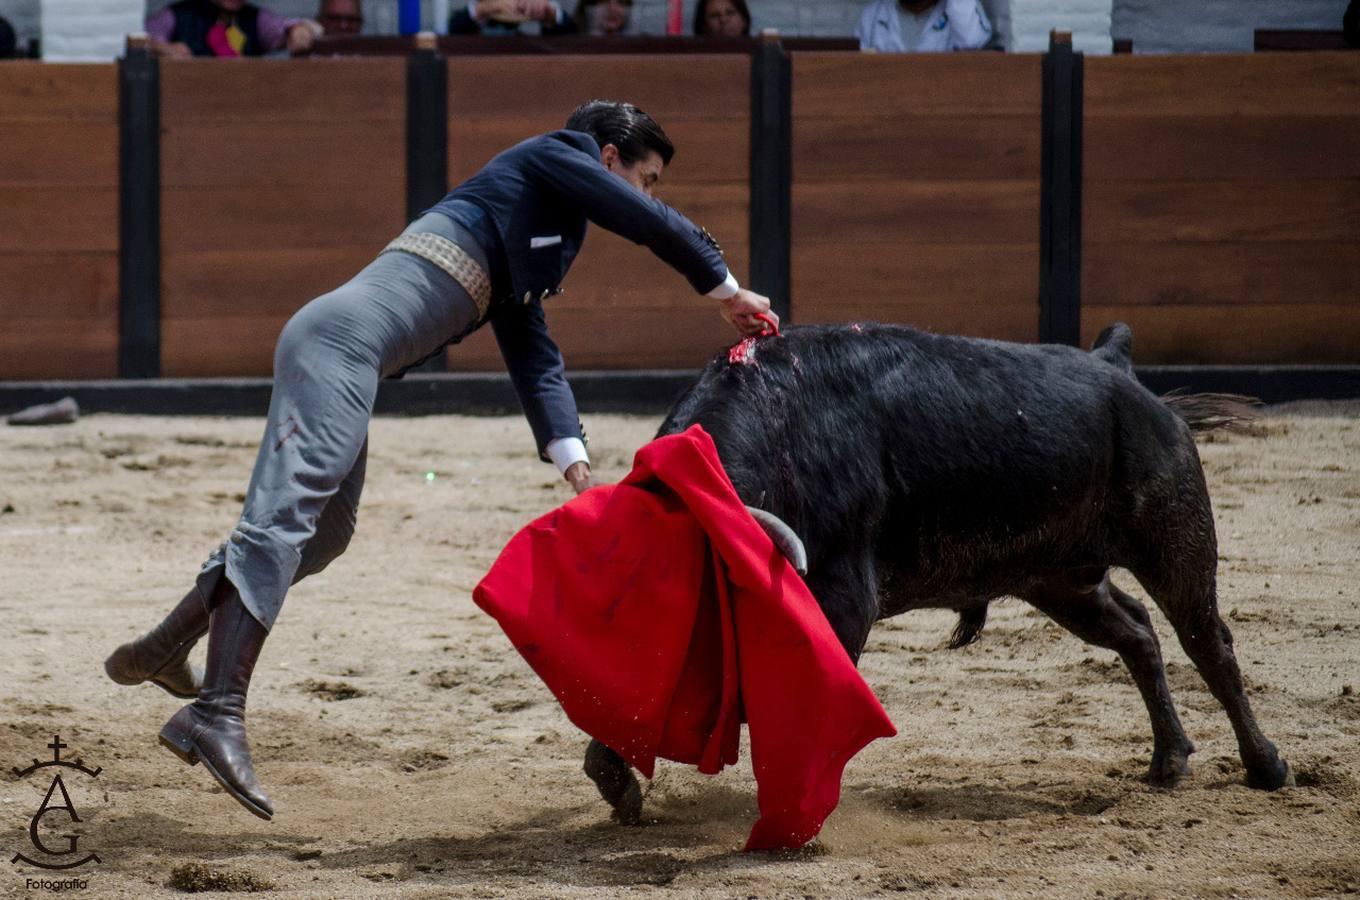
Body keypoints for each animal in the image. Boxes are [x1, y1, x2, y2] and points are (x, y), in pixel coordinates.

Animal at [579, 320, 1289, 826]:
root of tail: (1119, 371)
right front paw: (617, 781)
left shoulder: (842, 603)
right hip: (1059, 579)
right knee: (1138, 632)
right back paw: (1170, 760)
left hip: (1174, 538)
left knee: (1208, 644)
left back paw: (1265, 765)